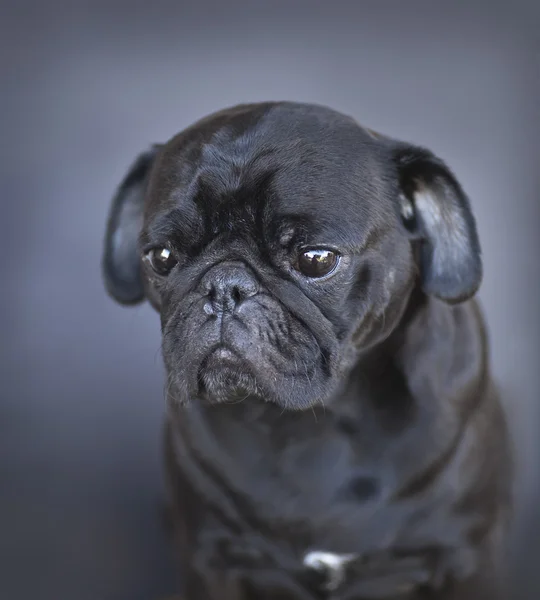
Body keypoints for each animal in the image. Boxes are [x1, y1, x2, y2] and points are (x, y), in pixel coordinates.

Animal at [101, 101, 510, 596]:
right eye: (160, 257)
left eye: (316, 258)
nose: (223, 288)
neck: (315, 423)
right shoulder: (210, 559)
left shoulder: (466, 558)